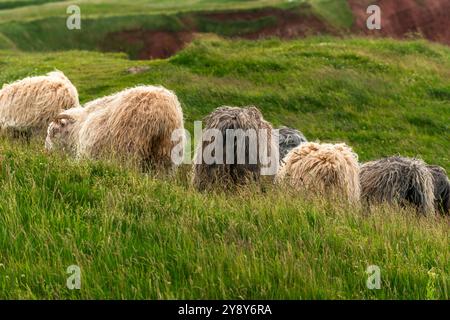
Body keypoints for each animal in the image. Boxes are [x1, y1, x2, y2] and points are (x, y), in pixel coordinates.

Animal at [45, 84, 185, 171]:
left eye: (53, 132)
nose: (46, 152)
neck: (77, 130)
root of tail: (162, 114)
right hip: (166, 155)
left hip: (129, 150)